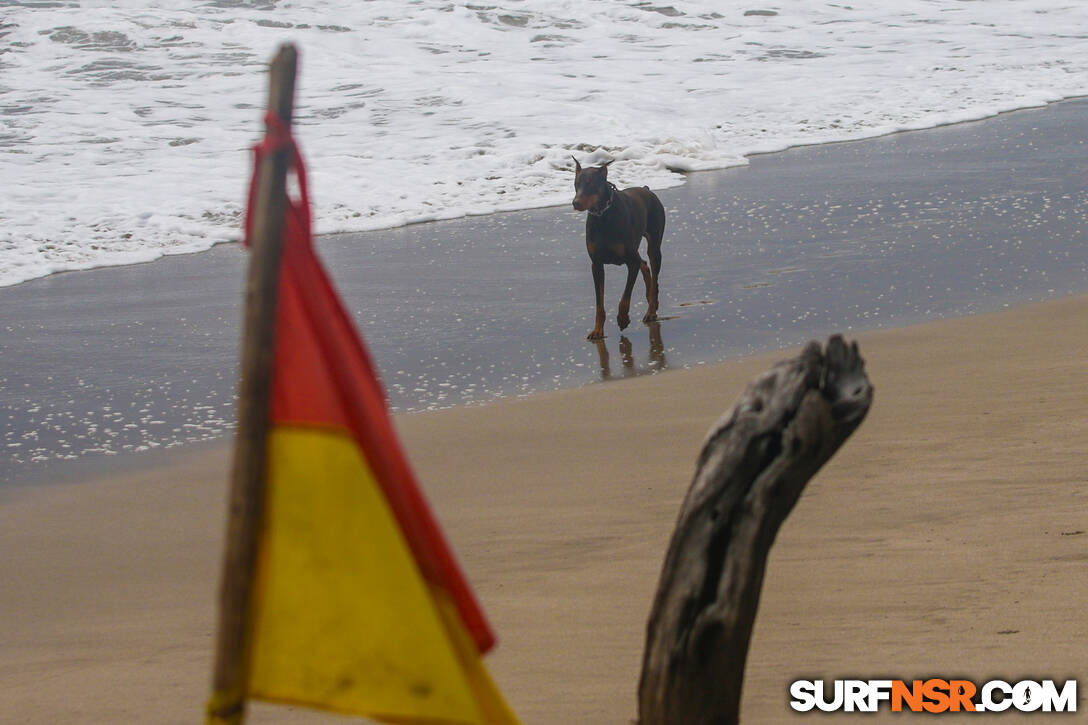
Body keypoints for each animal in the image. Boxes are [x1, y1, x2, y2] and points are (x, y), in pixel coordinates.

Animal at [570, 157, 661, 339]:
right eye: (576, 183)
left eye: (591, 183)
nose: (575, 203)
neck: (602, 216)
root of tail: (646, 190)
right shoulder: (596, 265)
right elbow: (599, 304)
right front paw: (598, 330)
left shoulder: (631, 263)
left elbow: (625, 297)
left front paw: (622, 318)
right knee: (644, 264)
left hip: (654, 246)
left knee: (653, 275)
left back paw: (651, 311)